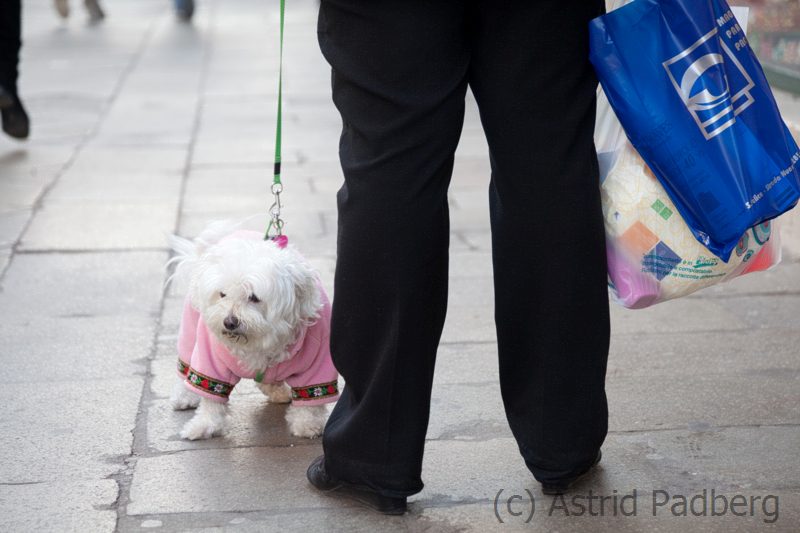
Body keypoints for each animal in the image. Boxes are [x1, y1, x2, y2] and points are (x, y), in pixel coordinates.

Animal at [167, 221, 336, 440]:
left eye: (254, 297)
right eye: (223, 294)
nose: (229, 322)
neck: (262, 340)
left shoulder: (318, 360)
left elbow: (311, 398)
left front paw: (308, 423)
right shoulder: (211, 357)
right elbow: (211, 396)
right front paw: (205, 424)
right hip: (190, 324)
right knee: (186, 361)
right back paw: (185, 395)